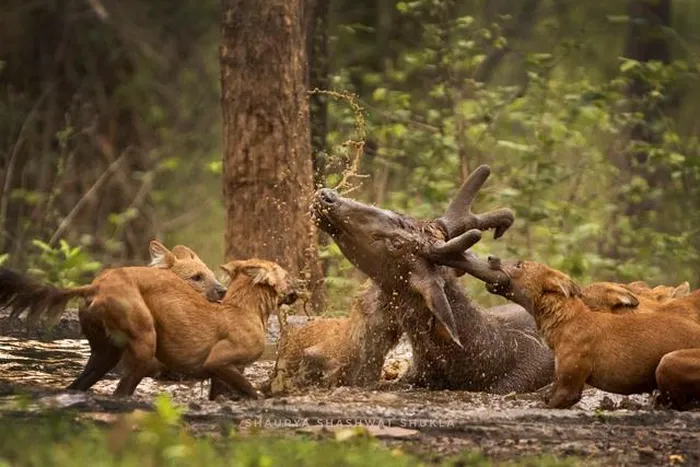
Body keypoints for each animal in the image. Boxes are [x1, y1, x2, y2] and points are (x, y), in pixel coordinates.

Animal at [104, 258, 298, 400]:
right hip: (144, 352)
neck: (249, 310)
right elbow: (249, 389)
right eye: (287, 276)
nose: (297, 290)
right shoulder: (218, 360)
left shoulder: (220, 375)